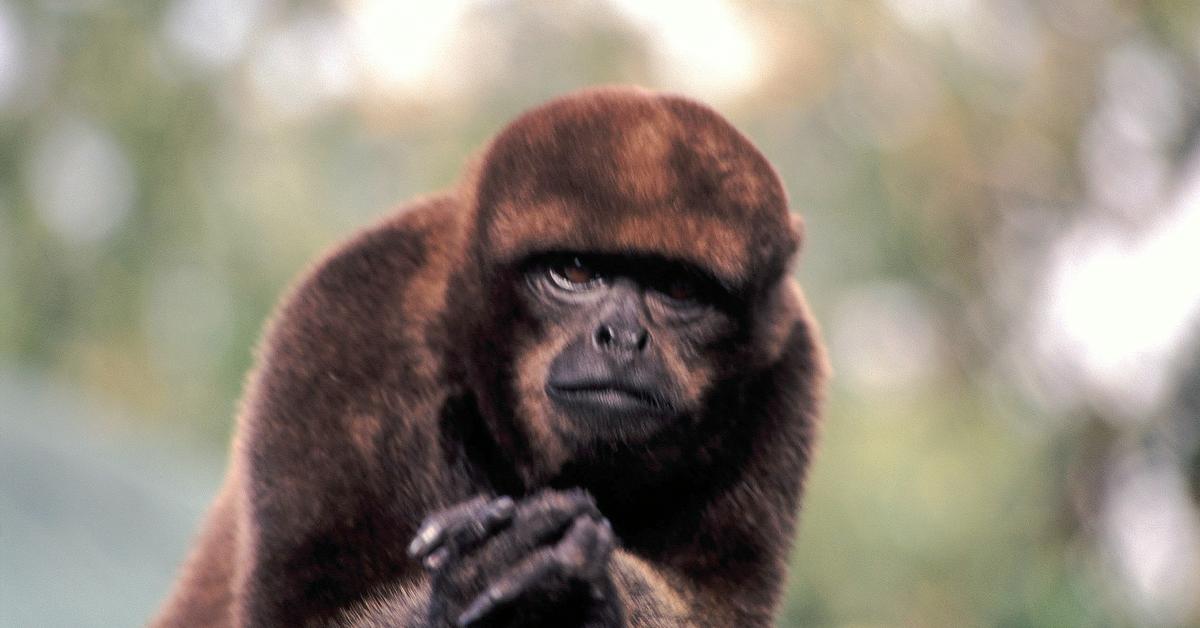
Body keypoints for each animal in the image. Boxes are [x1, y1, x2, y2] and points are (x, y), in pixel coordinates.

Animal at [152, 84, 825, 628]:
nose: (622, 337)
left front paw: (583, 584)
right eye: (574, 272)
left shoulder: (788, 371)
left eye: (681, 289)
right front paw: (485, 578)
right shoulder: (346, 322)